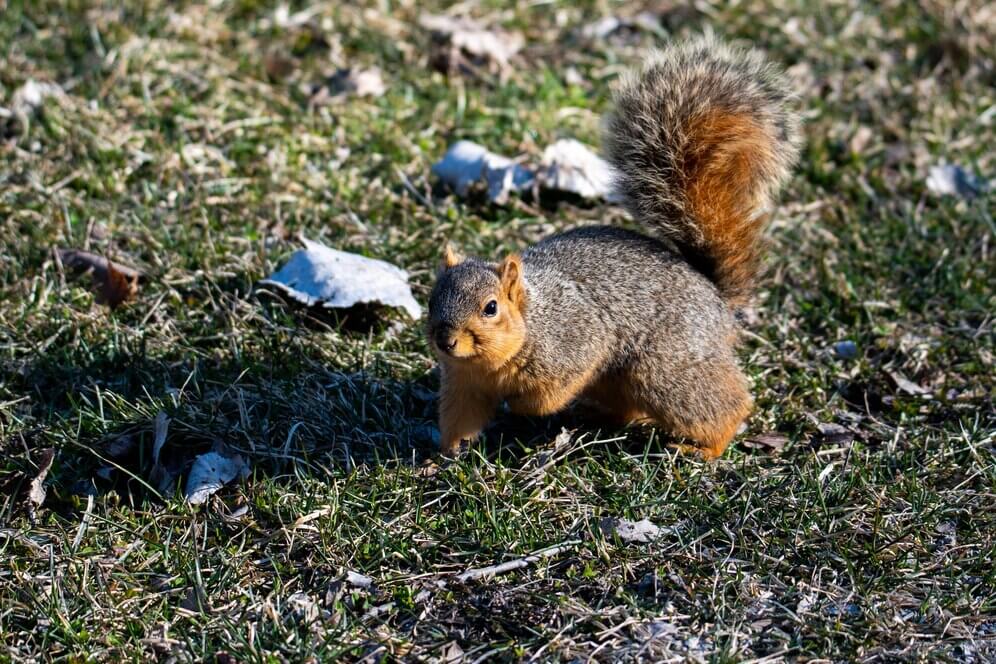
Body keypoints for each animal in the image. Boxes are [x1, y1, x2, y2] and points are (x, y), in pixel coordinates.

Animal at [427, 37, 801, 459]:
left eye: (491, 308)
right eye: (432, 298)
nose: (445, 340)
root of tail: (715, 297)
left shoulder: (577, 342)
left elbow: (547, 395)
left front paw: (519, 407)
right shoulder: (464, 383)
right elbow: (460, 416)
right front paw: (446, 452)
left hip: (665, 368)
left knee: (724, 406)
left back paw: (705, 448)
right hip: (623, 380)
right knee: (630, 409)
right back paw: (597, 415)